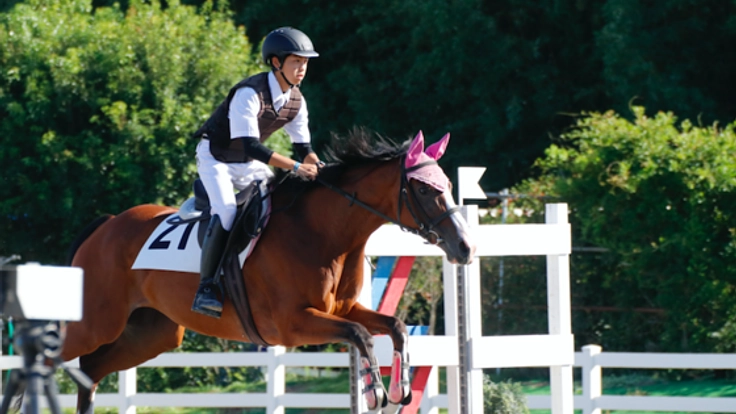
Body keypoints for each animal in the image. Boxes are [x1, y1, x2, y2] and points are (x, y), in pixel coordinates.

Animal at [59, 129, 476, 413]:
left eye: (448, 185)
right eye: (424, 190)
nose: (466, 248)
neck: (325, 231)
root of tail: (106, 225)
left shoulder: (342, 310)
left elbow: (395, 327)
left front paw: (399, 389)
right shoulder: (293, 323)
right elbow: (360, 336)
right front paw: (374, 391)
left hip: (152, 333)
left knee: (91, 370)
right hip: (96, 325)